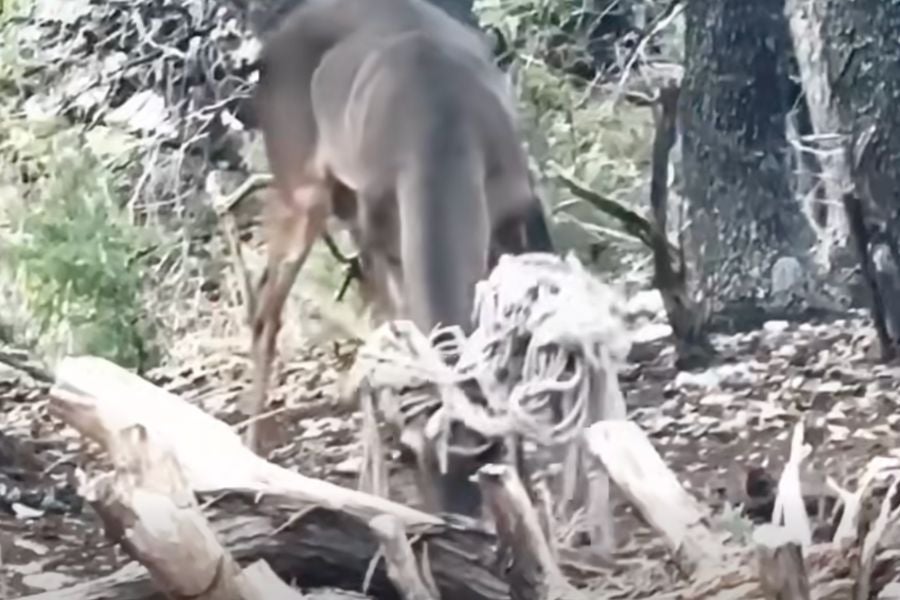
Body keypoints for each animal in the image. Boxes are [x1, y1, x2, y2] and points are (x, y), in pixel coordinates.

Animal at [244, 0, 555, 517]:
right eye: (416, 457)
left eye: (489, 452)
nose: (457, 518)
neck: (443, 129)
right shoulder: (379, 232)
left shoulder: (518, 214)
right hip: (301, 186)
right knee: (267, 308)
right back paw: (254, 454)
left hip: (340, 198)